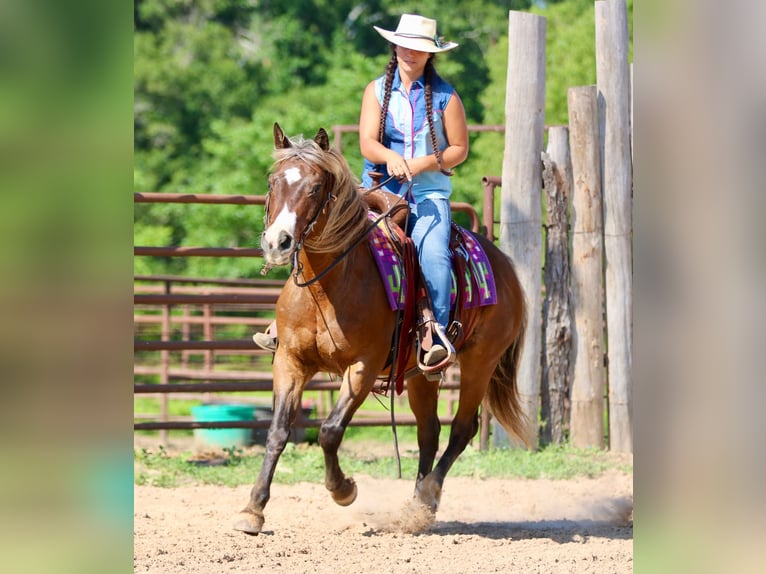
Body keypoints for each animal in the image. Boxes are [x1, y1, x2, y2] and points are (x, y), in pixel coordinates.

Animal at [233, 123, 528, 535]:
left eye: (315, 188)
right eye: (273, 182)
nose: (278, 242)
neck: (327, 286)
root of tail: (505, 267)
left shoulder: (363, 367)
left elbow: (330, 431)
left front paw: (343, 490)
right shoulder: (289, 362)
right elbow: (277, 431)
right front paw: (253, 509)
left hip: (480, 364)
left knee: (461, 429)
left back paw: (427, 497)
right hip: (421, 375)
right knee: (428, 431)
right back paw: (415, 507)